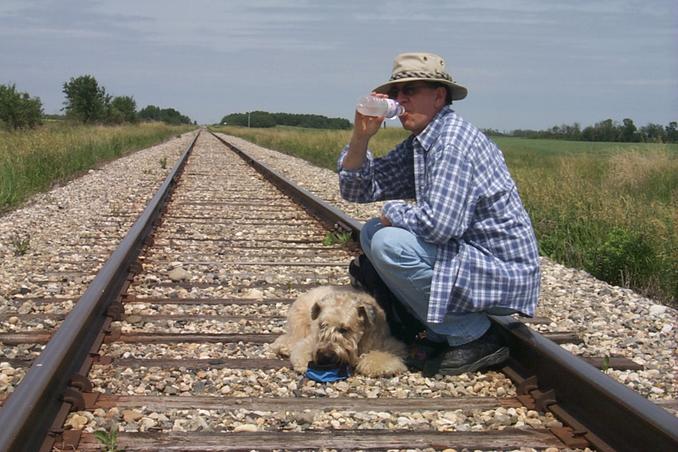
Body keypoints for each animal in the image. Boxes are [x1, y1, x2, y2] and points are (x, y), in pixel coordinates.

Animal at [270, 286, 410, 378]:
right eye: (322, 325)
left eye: (344, 329)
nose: (325, 356)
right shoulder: (310, 341)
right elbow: (302, 349)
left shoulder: (389, 344)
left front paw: (375, 366)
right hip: (299, 322)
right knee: (289, 338)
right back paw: (283, 348)